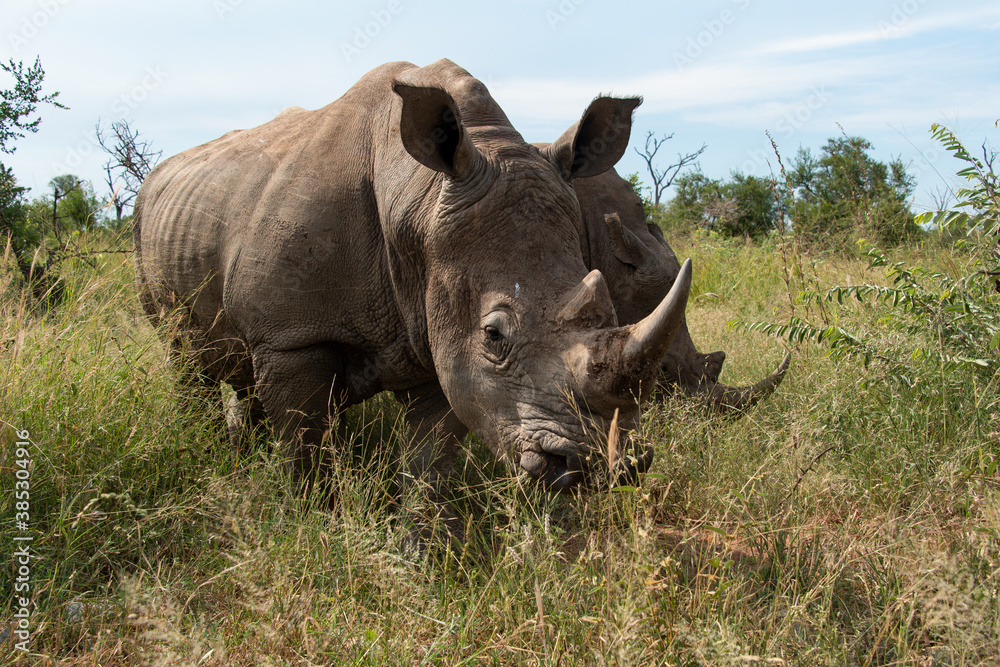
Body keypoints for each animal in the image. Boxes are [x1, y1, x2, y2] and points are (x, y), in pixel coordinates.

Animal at [133, 59, 691, 514]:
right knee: (180, 352)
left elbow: (429, 468)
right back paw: (209, 449)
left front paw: (425, 550)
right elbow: (304, 453)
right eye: (494, 336)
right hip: (146, 227)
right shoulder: (289, 337)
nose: (593, 467)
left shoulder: (437, 334)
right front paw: (314, 526)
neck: (417, 199)